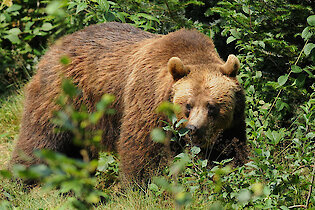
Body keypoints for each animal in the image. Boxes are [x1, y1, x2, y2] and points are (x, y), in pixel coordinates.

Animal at [10, 22, 249, 181]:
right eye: (187, 105)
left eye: (212, 106)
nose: (193, 129)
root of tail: (56, 45)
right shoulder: (147, 98)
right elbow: (142, 147)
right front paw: (140, 184)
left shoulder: (233, 122)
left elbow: (231, 150)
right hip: (62, 94)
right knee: (41, 137)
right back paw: (21, 179)